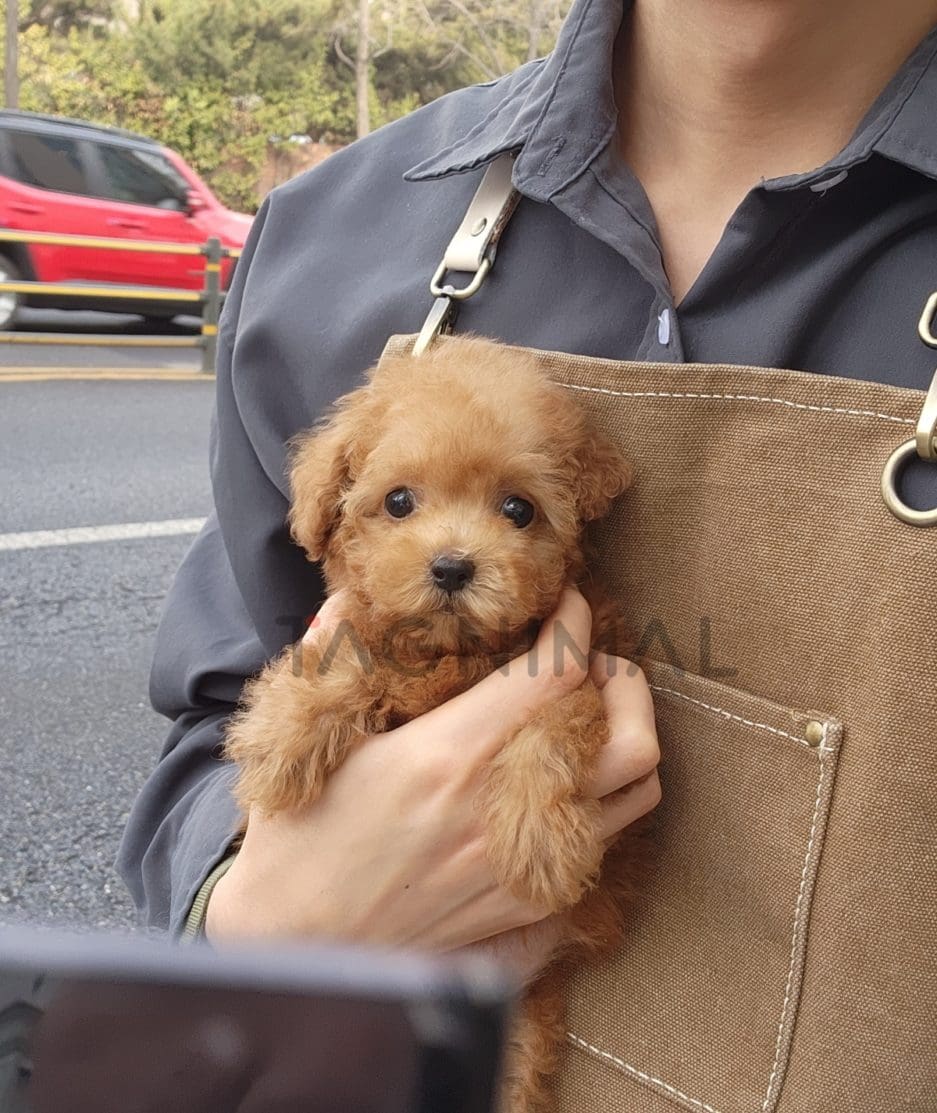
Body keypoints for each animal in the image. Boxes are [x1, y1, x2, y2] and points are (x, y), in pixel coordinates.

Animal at [223, 333, 640, 1108]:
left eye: (518, 509)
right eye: (398, 501)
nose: (451, 567)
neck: (451, 654)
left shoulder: (585, 663)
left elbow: (556, 720)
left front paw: (537, 836)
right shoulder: (366, 633)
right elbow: (348, 654)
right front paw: (284, 738)